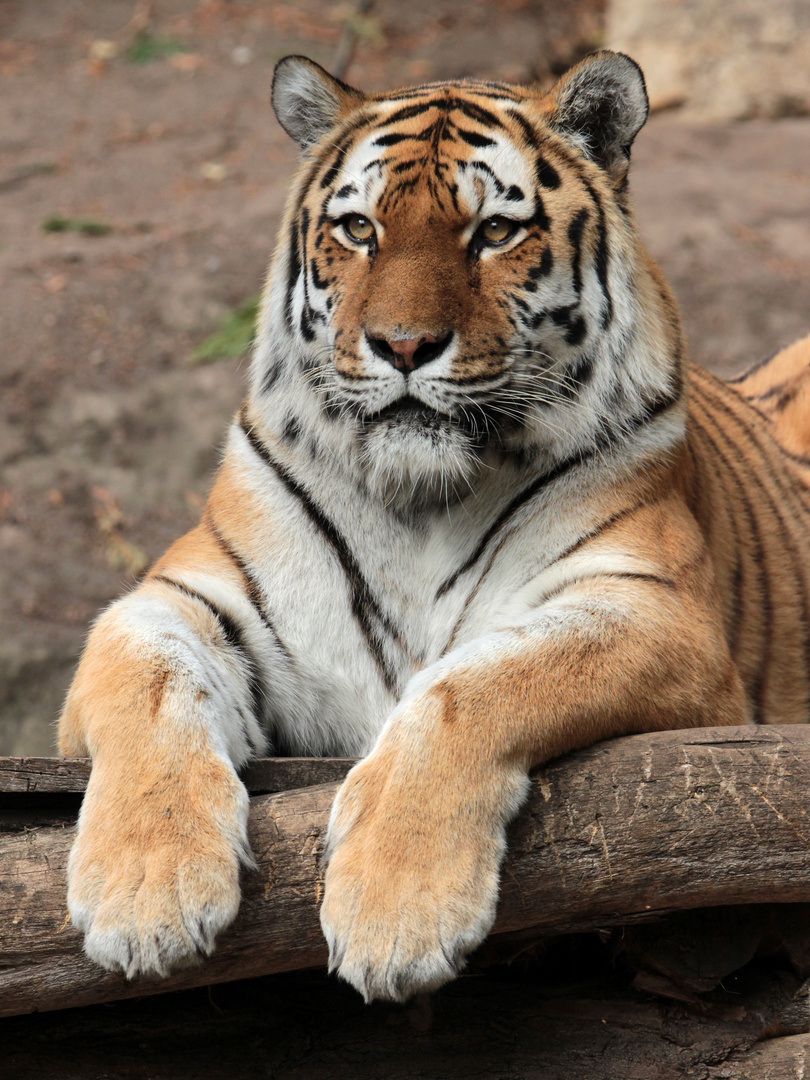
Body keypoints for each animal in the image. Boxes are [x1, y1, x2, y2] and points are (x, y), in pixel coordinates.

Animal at [57, 52, 810, 1002]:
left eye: (493, 232)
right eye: (358, 229)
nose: (404, 345)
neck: (420, 500)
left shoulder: (655, 612)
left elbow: (475, 683)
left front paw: (395, 912)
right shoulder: (184, 594)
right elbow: (148, 676)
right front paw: (146, 894)